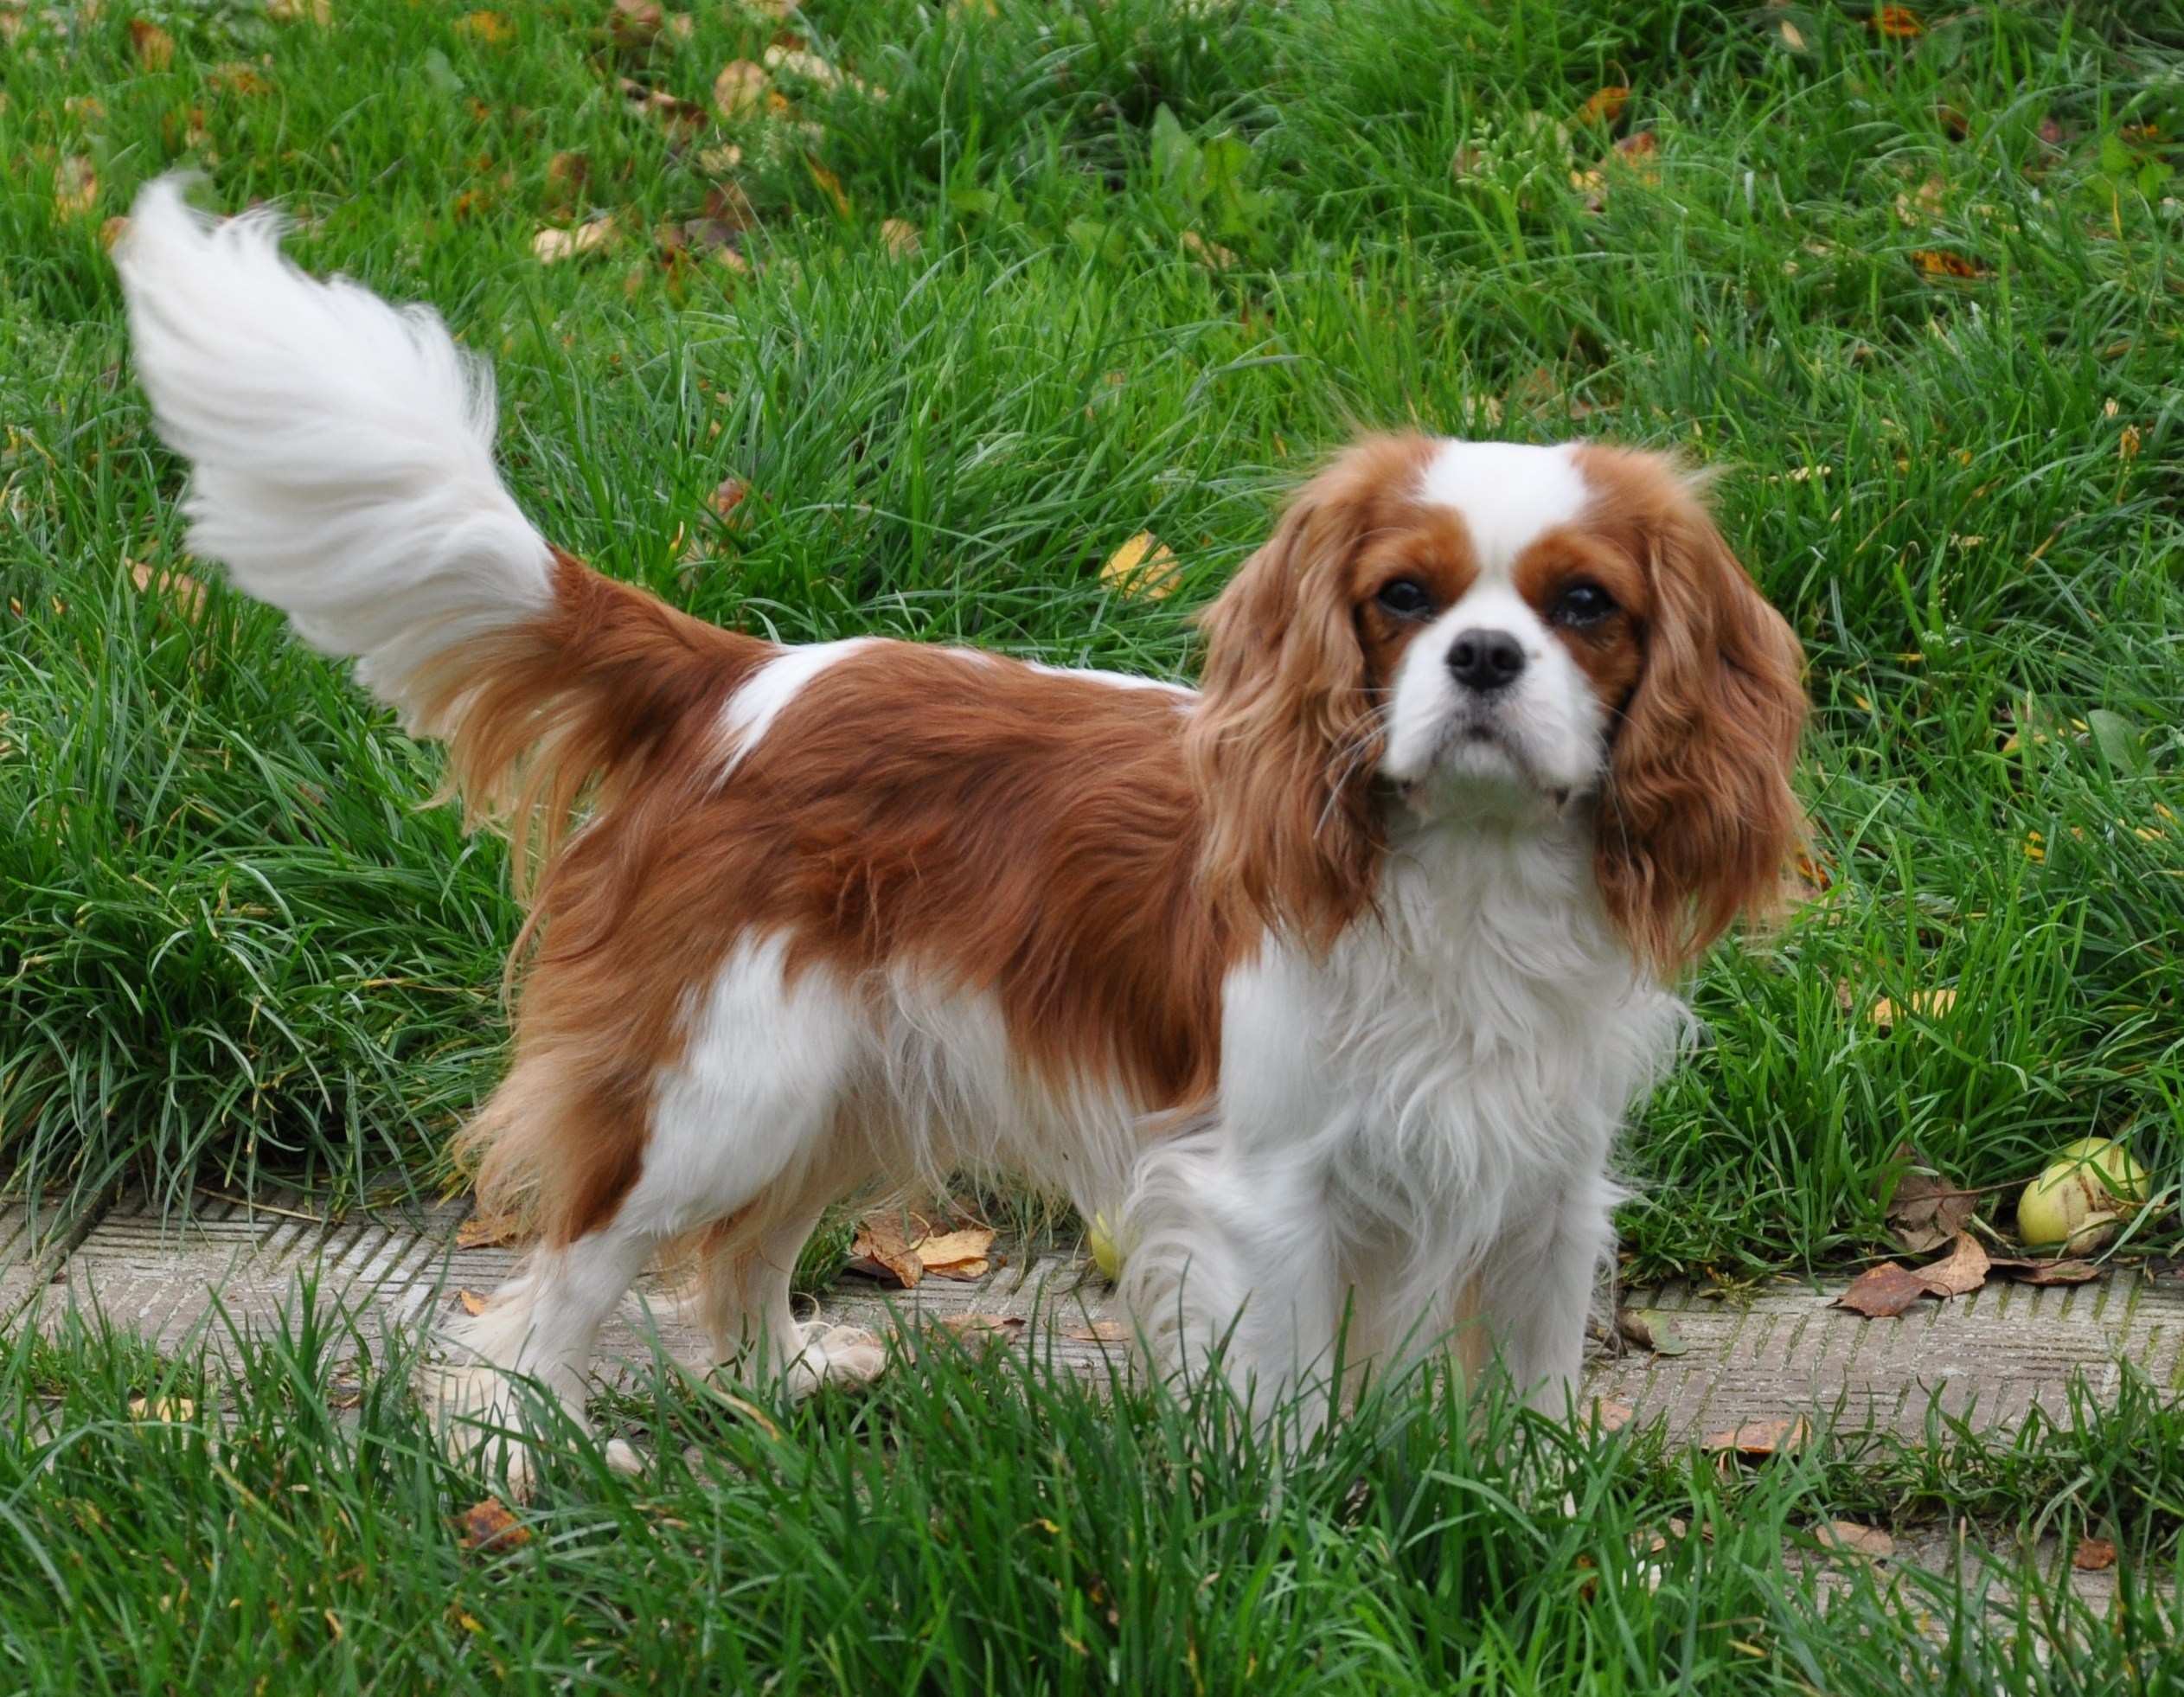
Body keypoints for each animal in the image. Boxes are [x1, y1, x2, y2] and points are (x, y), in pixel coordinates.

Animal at [111, 172, 1799, 1467]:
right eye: (1402, 598)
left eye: (1585, 606)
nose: (1485, 658)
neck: (1467, 873)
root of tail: (732, 675)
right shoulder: (1265, 1191)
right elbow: (1279, 1407)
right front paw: (1299, 1536)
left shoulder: (1543, 1185)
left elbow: (1528, 1394)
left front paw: (1537, 1525)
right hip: (718, 1083)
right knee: (558, 1284)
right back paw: (530, 1452)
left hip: (842, 1077)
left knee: (743, 1251)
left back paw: (783, 1375)